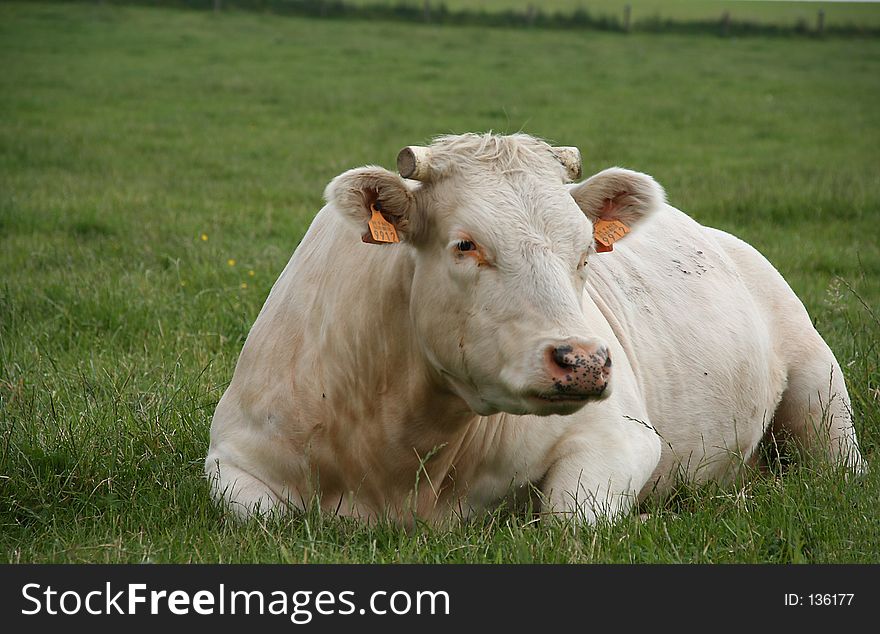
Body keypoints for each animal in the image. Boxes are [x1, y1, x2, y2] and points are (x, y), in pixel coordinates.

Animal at [206, 131, 868, 520]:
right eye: (466, 244)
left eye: (585, 250)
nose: (585, 362)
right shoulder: (234, 458)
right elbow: (263, 518)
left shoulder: (621, 437)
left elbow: (564, 520)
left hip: (823, 398)